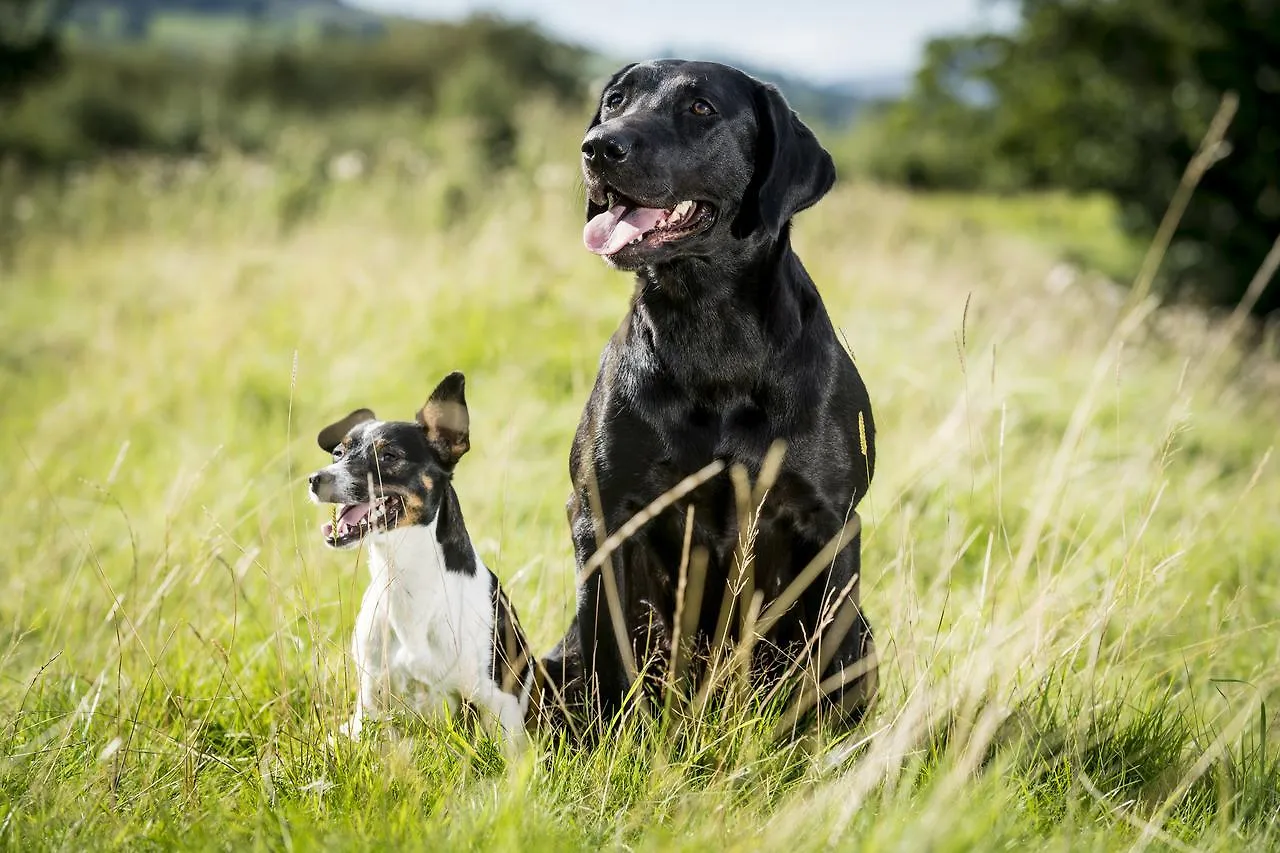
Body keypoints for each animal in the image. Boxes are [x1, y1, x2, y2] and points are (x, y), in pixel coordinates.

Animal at [311, 371, 540, 742]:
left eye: (389, 456)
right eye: (338, 453)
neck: (403, 573)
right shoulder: (373, 697)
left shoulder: (500, 704)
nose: (316, 479)